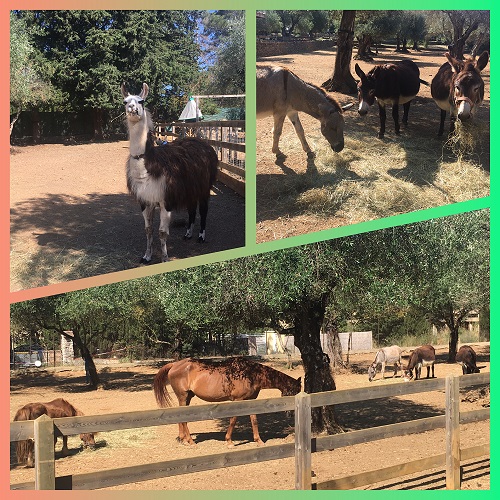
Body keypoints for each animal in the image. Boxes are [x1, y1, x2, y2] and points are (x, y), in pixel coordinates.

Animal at [122, 83, 218, 262]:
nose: (132, 108)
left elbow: (162, 232)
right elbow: (148, 230)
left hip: (204, 185)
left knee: (203, 210)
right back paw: (188, 234)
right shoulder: (145, 200)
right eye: (125, 101)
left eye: (141, 101)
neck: (149, 167)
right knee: (191, 209)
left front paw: (165, 259)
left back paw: (201, 236)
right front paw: (146, 256)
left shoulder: (166, 199)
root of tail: (203, 143)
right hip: (190, 188)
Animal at [152, 358, 300, 448]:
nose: (291, 414)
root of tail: (175, 365)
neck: (250, 374)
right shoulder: (237, 400)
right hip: (183, 397)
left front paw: (259, 440)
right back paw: (191, 441)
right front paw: (229, 441)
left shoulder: (250, 401)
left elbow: (254, 420)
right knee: (184, 420)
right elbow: (233, 420)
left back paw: (183, 439)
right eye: (293, 391)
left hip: (187, 398)